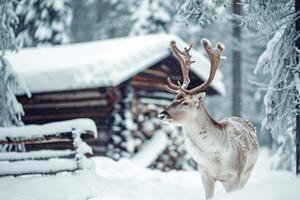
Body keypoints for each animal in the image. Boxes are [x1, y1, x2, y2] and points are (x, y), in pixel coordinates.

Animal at [158, 38, 258, 199]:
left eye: (185, 103)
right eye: (173, 99)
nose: (162, 114)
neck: (214, 159)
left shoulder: (235, 174)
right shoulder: (205, 174)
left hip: (247, 172)